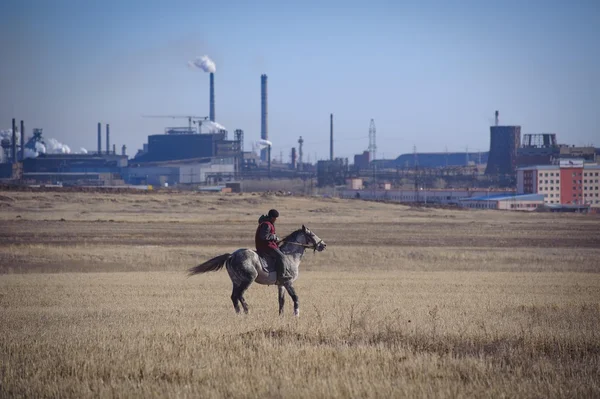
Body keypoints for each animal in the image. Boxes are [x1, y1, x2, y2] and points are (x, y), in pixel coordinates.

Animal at [190, 227, 326, 318]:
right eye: (312, 234)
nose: (323, 245)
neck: (290, 256)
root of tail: (232, 255)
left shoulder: (281, 284)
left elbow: (281, 301)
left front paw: (281, 316)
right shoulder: (288, 282)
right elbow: (295, 297)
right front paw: (296, 315)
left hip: (236, 281)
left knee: (234, 296)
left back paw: (239, 314)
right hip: (248, 279)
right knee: (240, 295)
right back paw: (247, 311)